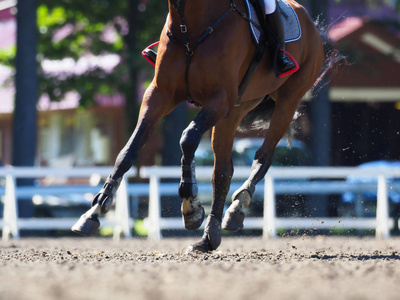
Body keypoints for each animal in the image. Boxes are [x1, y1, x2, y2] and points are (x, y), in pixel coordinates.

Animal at [73, 0, 326, 252]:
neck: (189, 27)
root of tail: (310, 23)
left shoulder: (219, 99)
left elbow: (188, 138)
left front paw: (190, 207)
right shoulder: (159, 95)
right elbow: (129, 150)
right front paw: (94, 210)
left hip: (287, 100)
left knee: (264, 156)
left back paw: (237, 207)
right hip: (236, 108)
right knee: (223, 170)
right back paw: (210, 237)